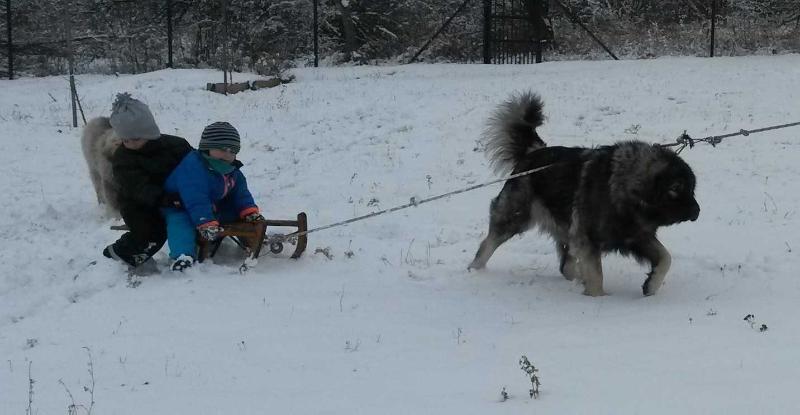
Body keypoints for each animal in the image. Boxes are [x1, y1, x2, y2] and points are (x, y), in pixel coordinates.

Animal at [468, 92, 700, 298]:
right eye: (676, 188)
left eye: (692, 189)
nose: (697, 211)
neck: (622, 189)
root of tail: (533, 152)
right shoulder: (588, 238)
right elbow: (596, 276)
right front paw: (596, 298)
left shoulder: (637, 236)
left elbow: (666, 257)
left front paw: (651, 285)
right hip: (514, 216)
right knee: (487, 246)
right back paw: (474, 272)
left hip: (565, 229)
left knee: (566, 266)